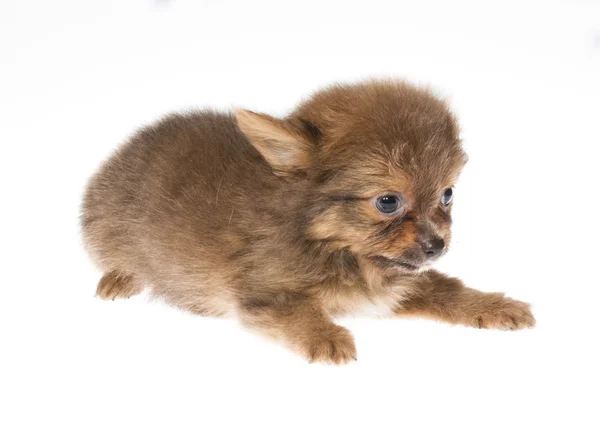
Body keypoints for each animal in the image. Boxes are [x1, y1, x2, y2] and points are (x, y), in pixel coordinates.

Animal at [79, 80, 536, 362]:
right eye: (388, 202)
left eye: (447, 194)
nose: (437, 245)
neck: (334, 247)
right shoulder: (265, 295)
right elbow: (300, 311)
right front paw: (327, 338)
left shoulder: (399, 287)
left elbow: (449, 290)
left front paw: (495, 306)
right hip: (106, 225)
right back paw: (120, 278)